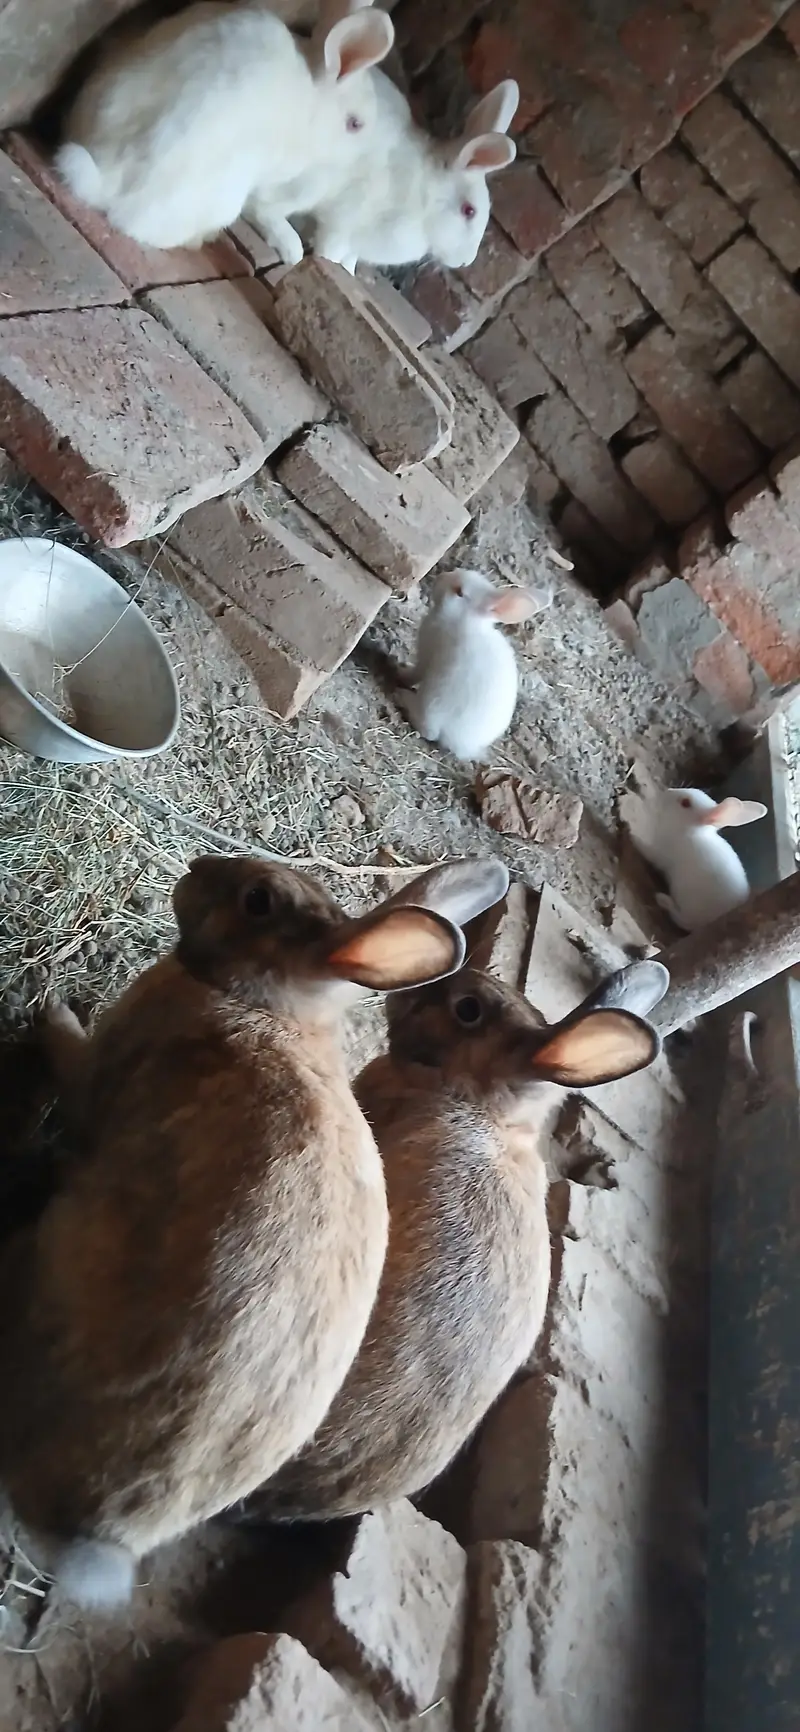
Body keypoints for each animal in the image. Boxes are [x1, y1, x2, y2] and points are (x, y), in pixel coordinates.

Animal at [0, 853, 510, 1611]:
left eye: (258, 901)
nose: (195, 868)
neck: (267, 1005)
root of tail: (105, 1532)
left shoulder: (99, 1078)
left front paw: (54, 1015)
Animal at [55, 0, 394, 258]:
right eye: (355, 124)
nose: (362, 157)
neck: (314, 101)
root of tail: (106, 183)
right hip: (225, 198)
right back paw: (200, 239)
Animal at [307, 77, 519, 272]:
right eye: (469, 211)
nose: (466, 262)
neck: (423, 195)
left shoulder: (354, 246)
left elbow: (348, 262)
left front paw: (348, 272)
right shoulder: (340, 223)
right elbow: (330, 252)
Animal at [395, 567, 551, 762]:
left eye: (459, 592)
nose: (441, 577)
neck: (464, 620)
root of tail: (461, 743)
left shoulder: (425, 656)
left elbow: (415, 674)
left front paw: (400, 672)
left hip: (432, 701)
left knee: (428, 730)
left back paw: (402, 697)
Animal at [620, 785, 768, 933]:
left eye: (685, 803)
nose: (668, 790)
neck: (688, 831)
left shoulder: (660, 854)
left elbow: (646, 850)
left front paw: (631, 833)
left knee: (682, 921)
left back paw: (663, 899)